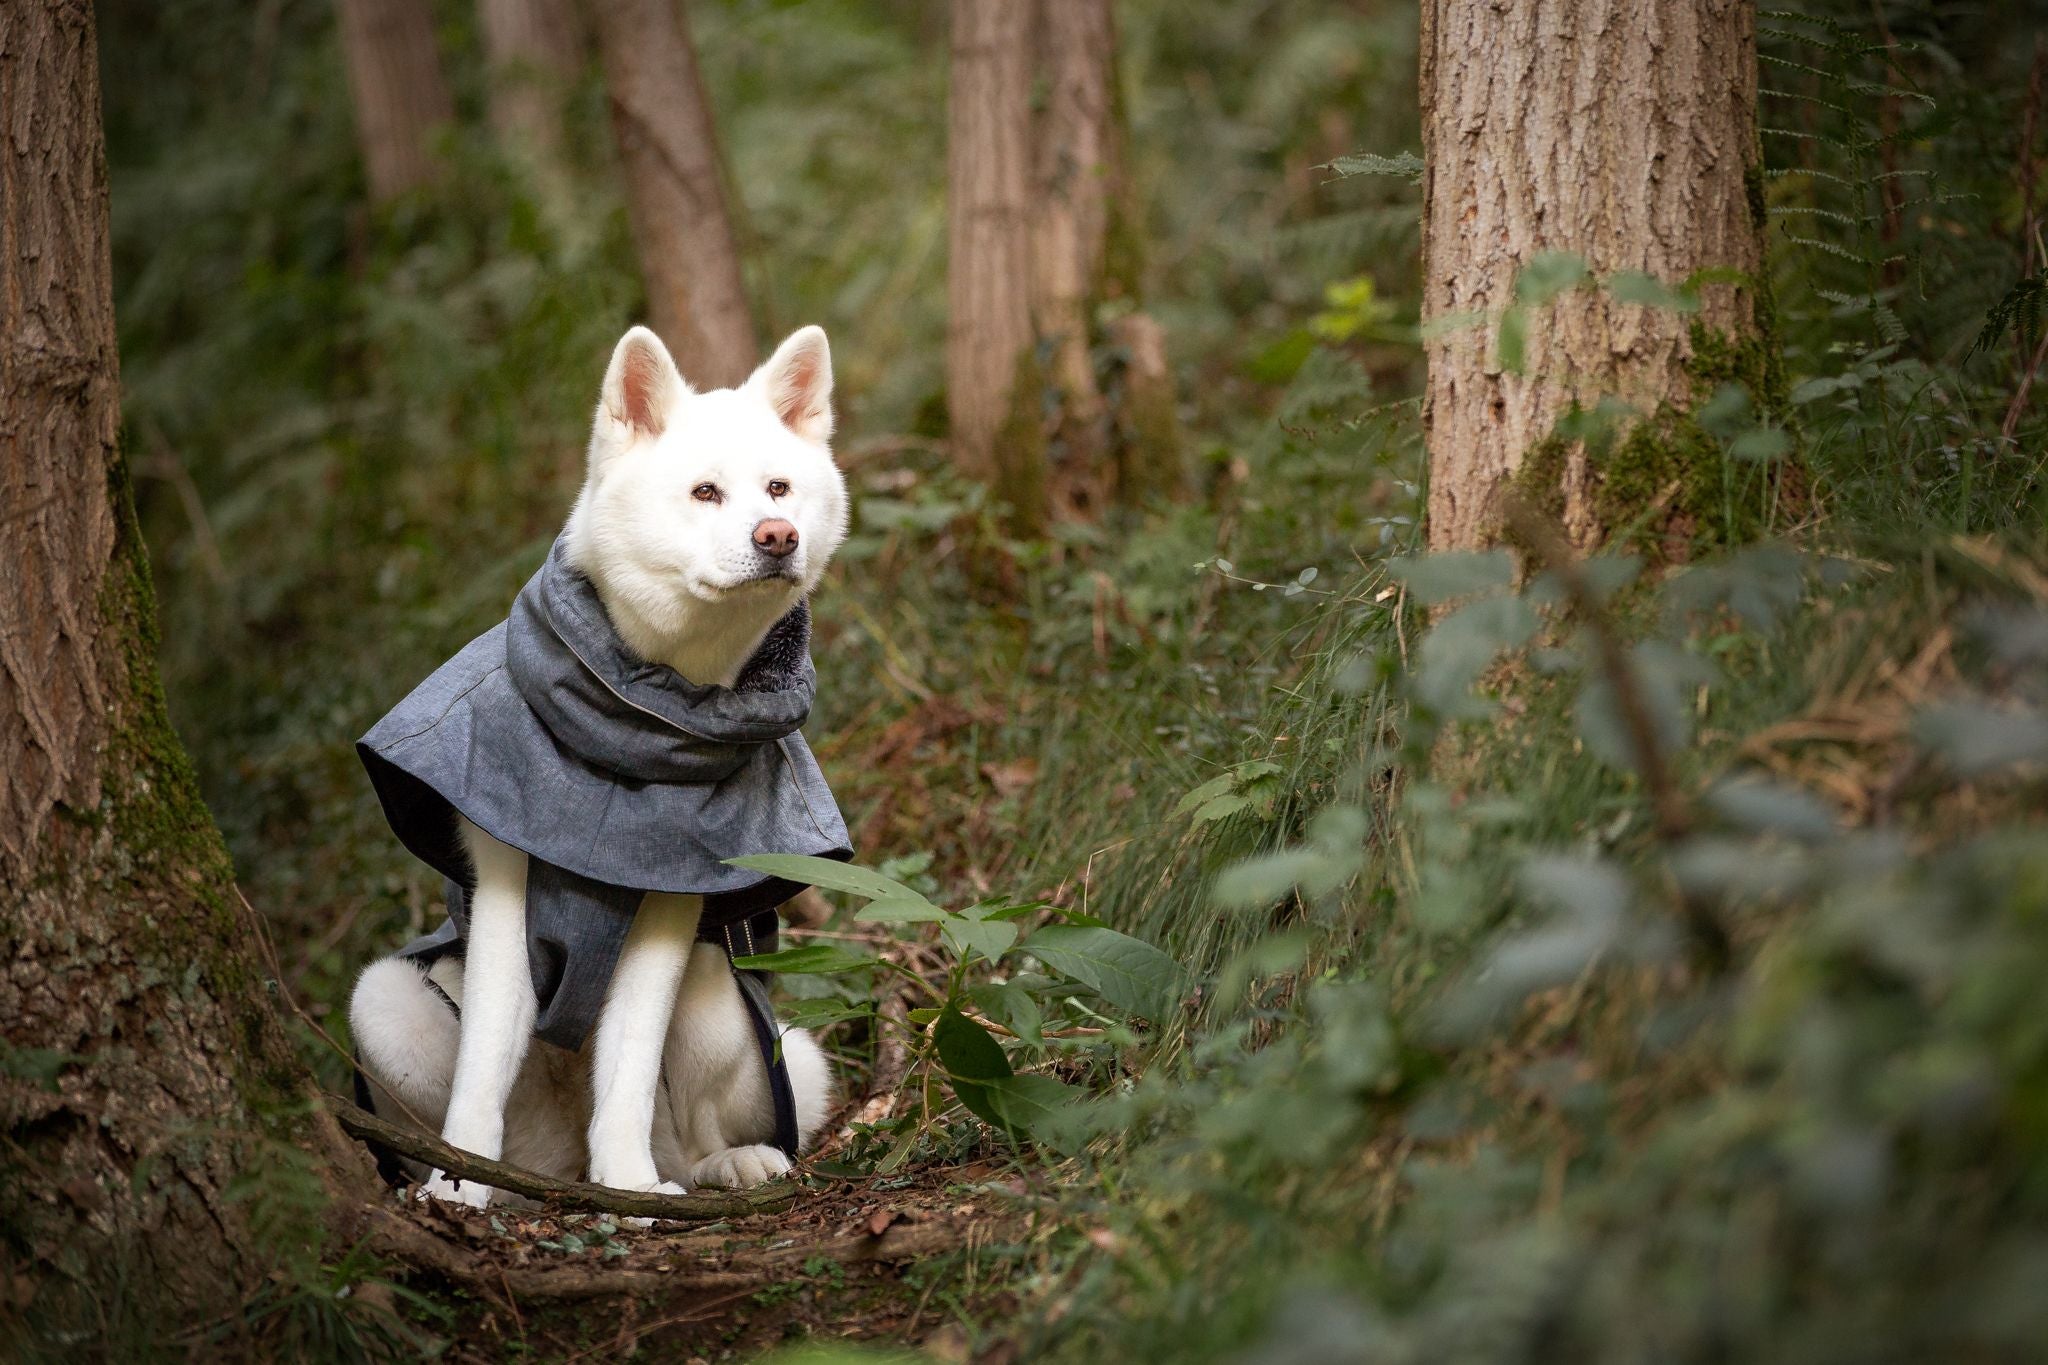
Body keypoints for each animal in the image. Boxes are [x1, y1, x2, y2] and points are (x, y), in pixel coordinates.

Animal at [348, 327, 843, 1203]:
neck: (637, 720)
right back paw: (485, 1181)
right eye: (705, 492)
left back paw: (709, 1166)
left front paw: (632, 1187)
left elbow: (630, 1062)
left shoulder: (671, 909)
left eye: (779, 488)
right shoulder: (504, 890)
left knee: (686, 1129)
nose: (778, 536)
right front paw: (458, 1186)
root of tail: (559, 1166)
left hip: (726, 1000)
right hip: (384, 1000)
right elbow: (485, 1060)